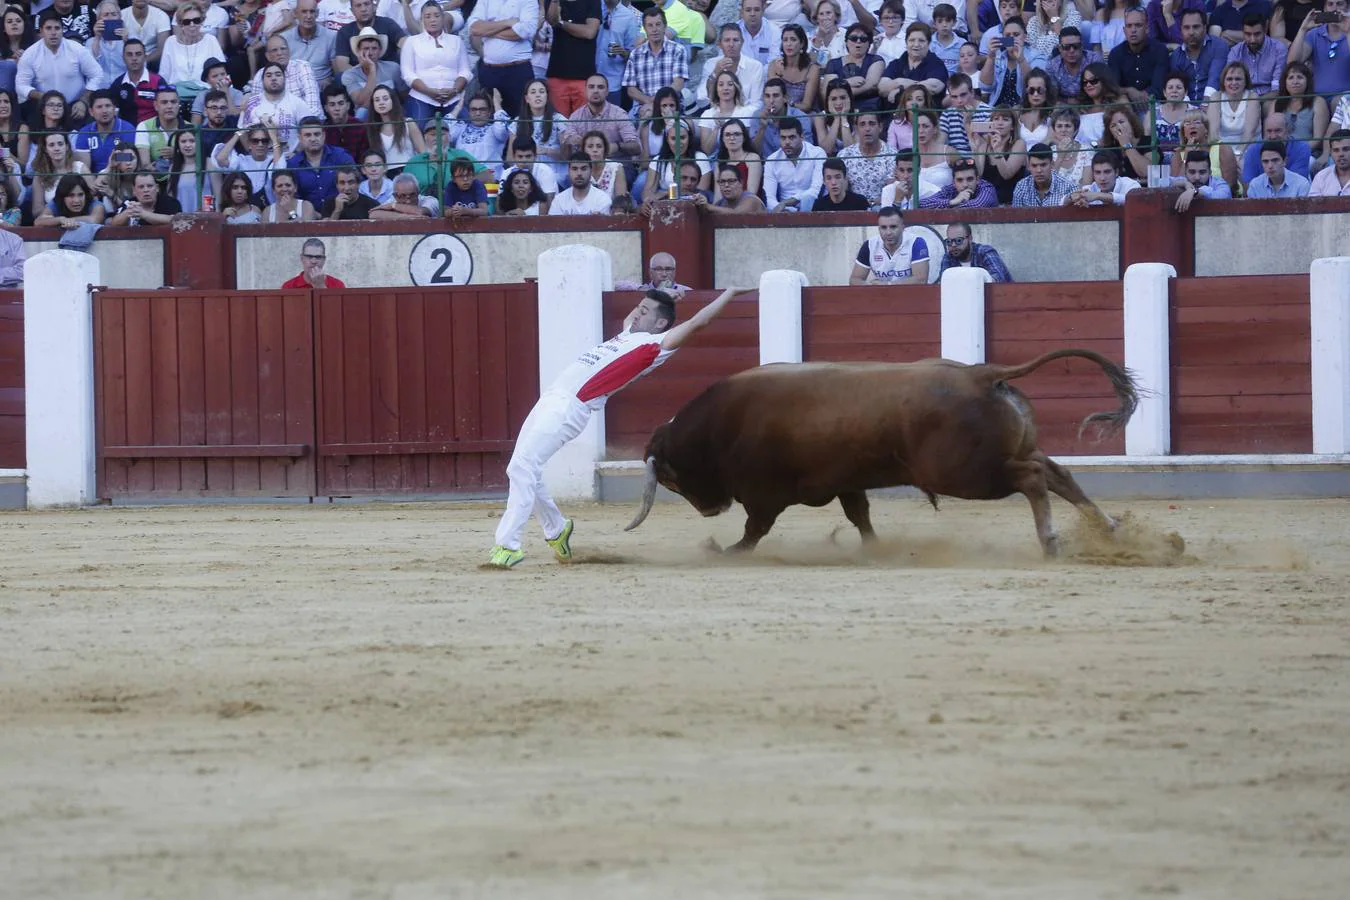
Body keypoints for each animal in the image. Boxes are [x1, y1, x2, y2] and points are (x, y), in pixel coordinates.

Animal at [621, 350, 1139, 555]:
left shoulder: (765, 495)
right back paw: (1110, 529)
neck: (720, 426)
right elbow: (860, 516)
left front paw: (725, 550)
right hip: (996, 458)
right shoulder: (846, 482)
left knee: (1032, 476)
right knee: (1056, 473)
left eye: (670, 479)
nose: (710, 510)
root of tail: (980, 374)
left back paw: (1052, 541)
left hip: (965, 474)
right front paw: (873, 549)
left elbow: (754, 531)